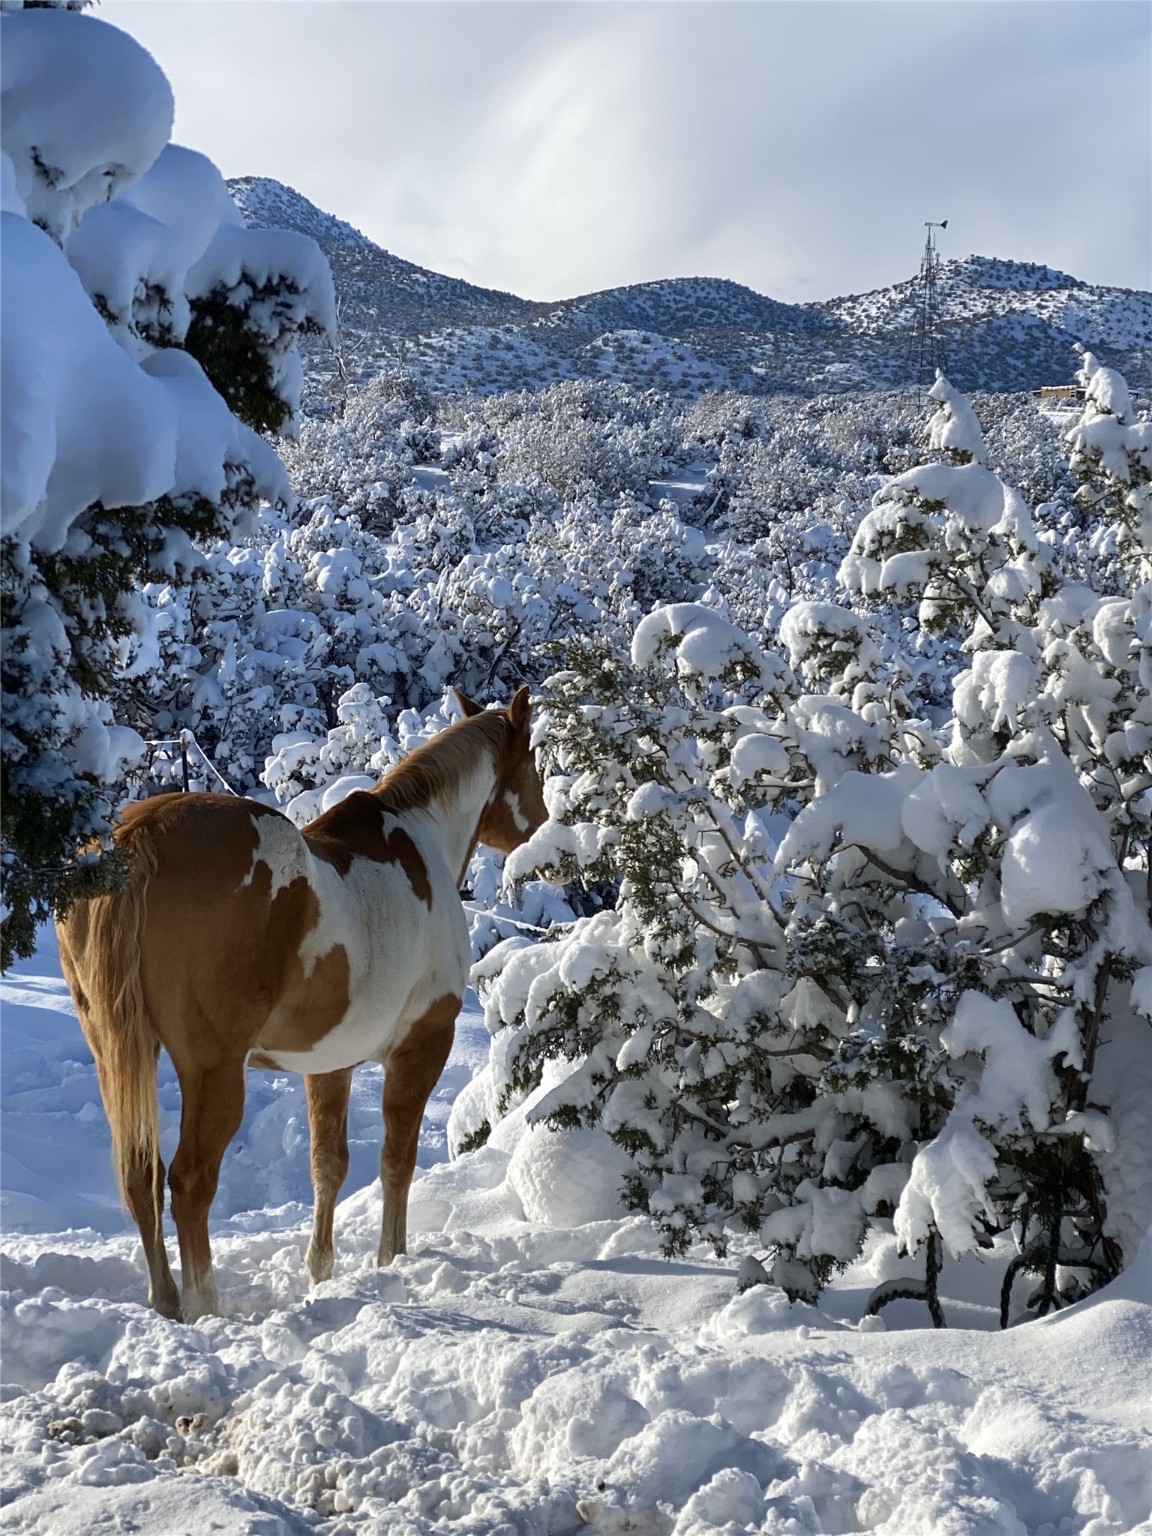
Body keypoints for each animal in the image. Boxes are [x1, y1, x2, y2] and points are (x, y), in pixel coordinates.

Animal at [56, 688, 552, 1320]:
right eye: (532, 761)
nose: (545, 832)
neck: (422, 845)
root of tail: (138, 837)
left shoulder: (329, 1064)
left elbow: (328, 1166)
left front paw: (320, 1273)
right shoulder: (423, 1045)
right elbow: (397, 1160)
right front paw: (391, 1261)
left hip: (120, 1053)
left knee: (140, 1175)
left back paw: (166, 1302)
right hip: (213, 1071)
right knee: (190, 1182)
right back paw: (204, 1305)